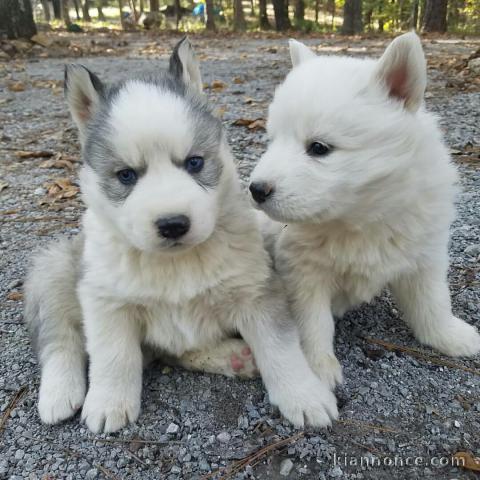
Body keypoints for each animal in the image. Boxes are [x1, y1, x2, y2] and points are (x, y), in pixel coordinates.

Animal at [23, 38, 338, 436]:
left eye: (194, 163)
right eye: (126, 175)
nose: (173, 224)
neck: (177, 263)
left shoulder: (256, 291)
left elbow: (282, 348)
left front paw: (305, 395)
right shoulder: (104, 299)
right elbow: (113, 355)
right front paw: (109, 402)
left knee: (176, 349)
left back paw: (234, 356)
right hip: (54, 269)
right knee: (60, 339)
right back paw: (59, 392)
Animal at [249, 31, 480, 388]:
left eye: (319, 148)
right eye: (272, 140)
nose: (257, 189)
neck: (360, 218)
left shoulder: (425, 255)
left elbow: (432, 301)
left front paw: (450, 336)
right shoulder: (303, 272)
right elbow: (313, 321)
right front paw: (318, 367)